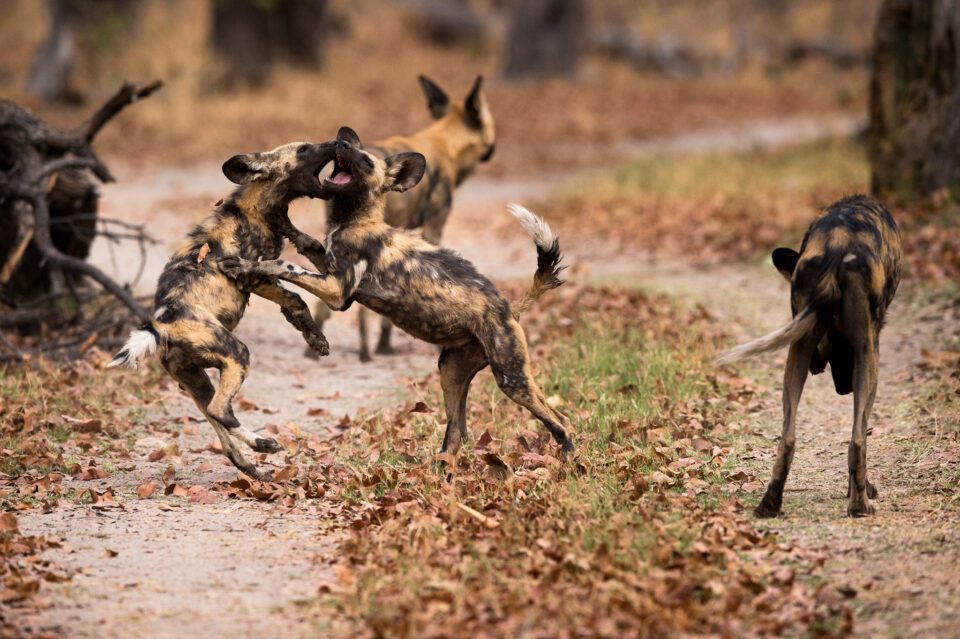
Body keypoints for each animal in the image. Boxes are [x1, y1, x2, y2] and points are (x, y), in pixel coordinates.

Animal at [109, 140, 338, 480]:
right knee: (221, 410)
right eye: (304, 150)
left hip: (195, 380)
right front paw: (315, 338)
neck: (253, 209)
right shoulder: (254, 277)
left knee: (218, 424)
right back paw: (265, 446)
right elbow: (296, 298)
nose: (336, 143)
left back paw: (255, 462)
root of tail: (162, 326)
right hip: (236, 354)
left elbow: (295, 300)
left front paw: (313, 337)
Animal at [221, 129, 572, 460]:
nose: (340, 143)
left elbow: (285, 265)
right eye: (349, 149)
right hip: (452, 371)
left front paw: (244, 264)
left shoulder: (338, 293)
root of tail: (509, 308)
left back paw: (568, 462)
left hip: (512, 379)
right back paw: (439, 471)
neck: (354, 222)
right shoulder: (329, 268)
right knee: (457, 433)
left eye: (365, 161)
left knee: (560, 422)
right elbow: (308, 243)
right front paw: (284, 225)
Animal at [716, 196, 904, 520]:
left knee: (787, 438)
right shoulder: (870, 345)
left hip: (798, 349)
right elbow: (861, 432)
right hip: (868, 356)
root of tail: (838, 248)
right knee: (857, 439)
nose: (843, 388)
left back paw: (770, 503)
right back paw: (859, 505)